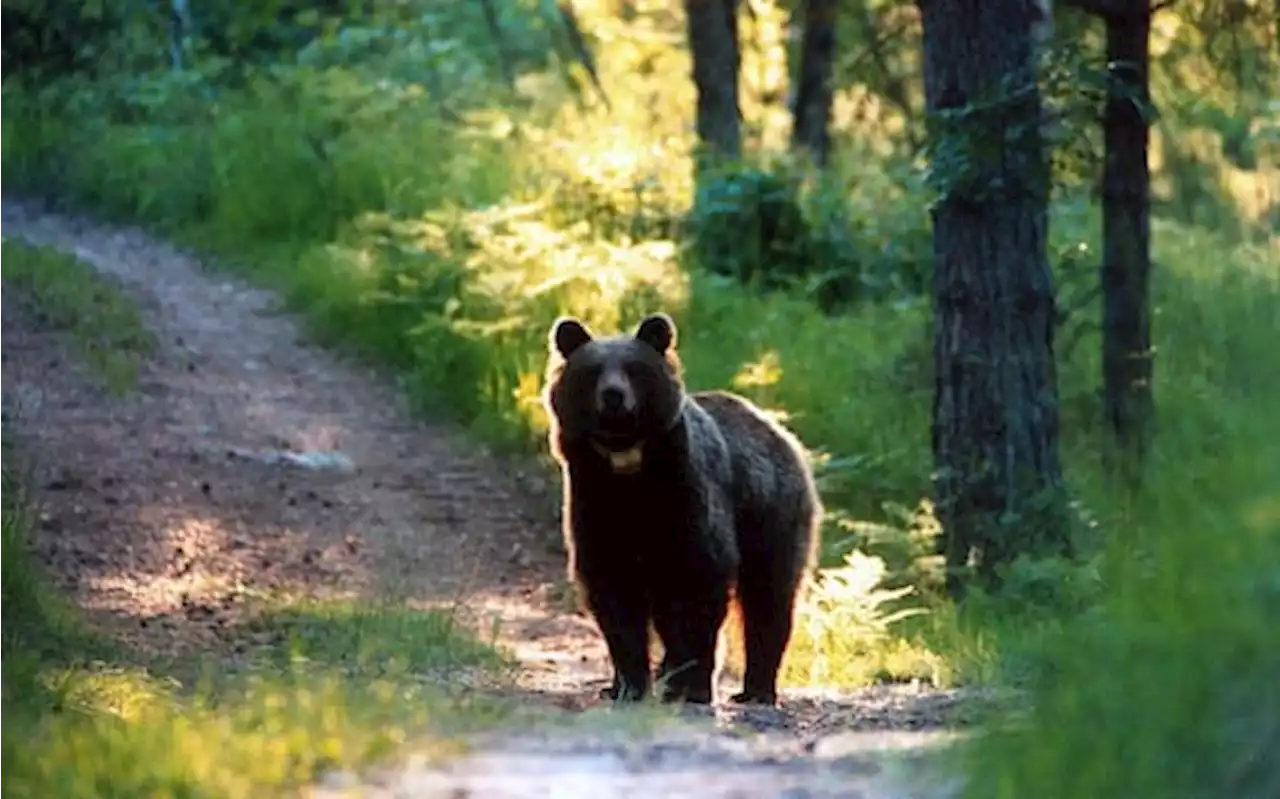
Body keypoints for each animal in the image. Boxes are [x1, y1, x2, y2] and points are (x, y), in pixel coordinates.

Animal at [540, 312, 819, 706]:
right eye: (593, 370)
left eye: (634, 368)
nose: (613, 396)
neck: (628, 468)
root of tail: (777, 429)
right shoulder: (595, 503)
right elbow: (614, 595)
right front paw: (630, 684)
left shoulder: (687, 499)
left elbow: (699, 584)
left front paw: (691, 686)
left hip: (771, 511)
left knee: (769, 597)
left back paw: (756, 689)